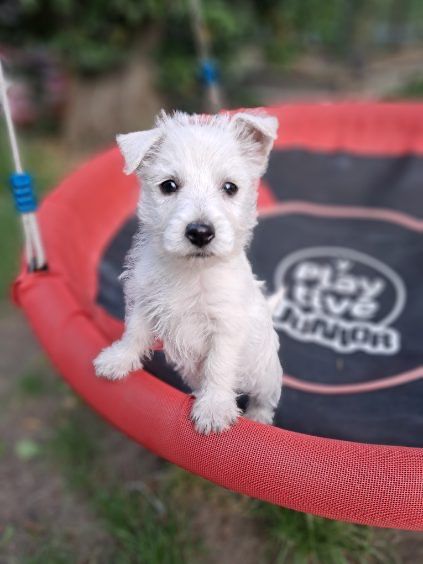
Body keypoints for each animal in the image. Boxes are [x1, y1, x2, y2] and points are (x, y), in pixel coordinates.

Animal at [94, 111, 284, 436]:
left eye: (230, 187)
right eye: (169, 185)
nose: (200, 232)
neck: (191, 271)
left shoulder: (226, 326)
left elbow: (218, 366)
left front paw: (214, 409)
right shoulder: (145, 302)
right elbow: (134, 333)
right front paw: (117, 360)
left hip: (266, 374)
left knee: (265, 398)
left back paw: (257, 418)